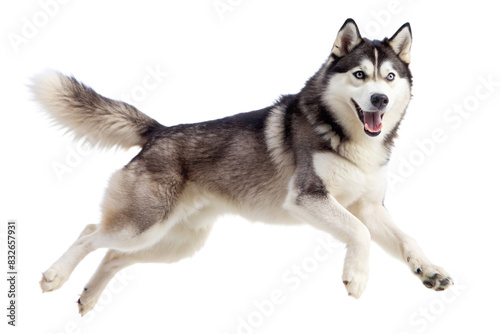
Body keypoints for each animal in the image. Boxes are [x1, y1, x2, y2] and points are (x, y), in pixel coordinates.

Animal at [32, 18, 454, 316]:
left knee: (114, 255)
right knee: (89, 233)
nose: (380, 99)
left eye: (390, 77)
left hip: (171, 242)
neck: (349, 138)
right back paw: (55, 276)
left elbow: (405, 238)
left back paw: (88, 297)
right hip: (141, 224)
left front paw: (428, 269)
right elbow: (359, 233)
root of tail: (160, 131)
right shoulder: (308, 197)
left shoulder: (368, 206)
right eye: (359, 75)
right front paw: (357, 276)